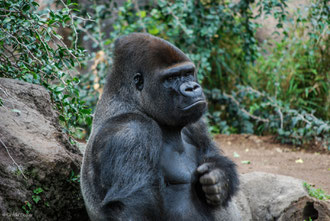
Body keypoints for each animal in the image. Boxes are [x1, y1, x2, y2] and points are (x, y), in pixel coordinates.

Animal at [81, 32, 238, 220]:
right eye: (171, 78)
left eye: (188, 73)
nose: (192, 88)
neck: (133, 102)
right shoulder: (132, 131)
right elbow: (131, 209)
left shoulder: (196, 124)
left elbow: (211, 154)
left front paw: (219, 178)